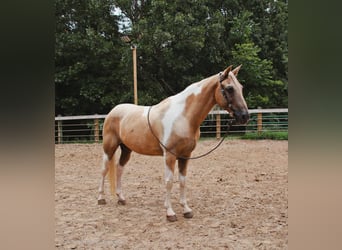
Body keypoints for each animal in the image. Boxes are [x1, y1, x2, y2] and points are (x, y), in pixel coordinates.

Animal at [96, 65, 248, 223]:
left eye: (241, 87)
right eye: (230, 88)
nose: (244, 116)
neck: (183, 117)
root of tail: (113, 111)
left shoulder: (185, 156)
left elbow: (182, 181)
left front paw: (186, 210)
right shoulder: (169, 155)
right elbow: (169, 182)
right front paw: (170, 212)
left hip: (126, 149)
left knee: (119, 169)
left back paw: (121, 198)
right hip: (109, 148)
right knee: (104, 169)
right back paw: (101, 198)